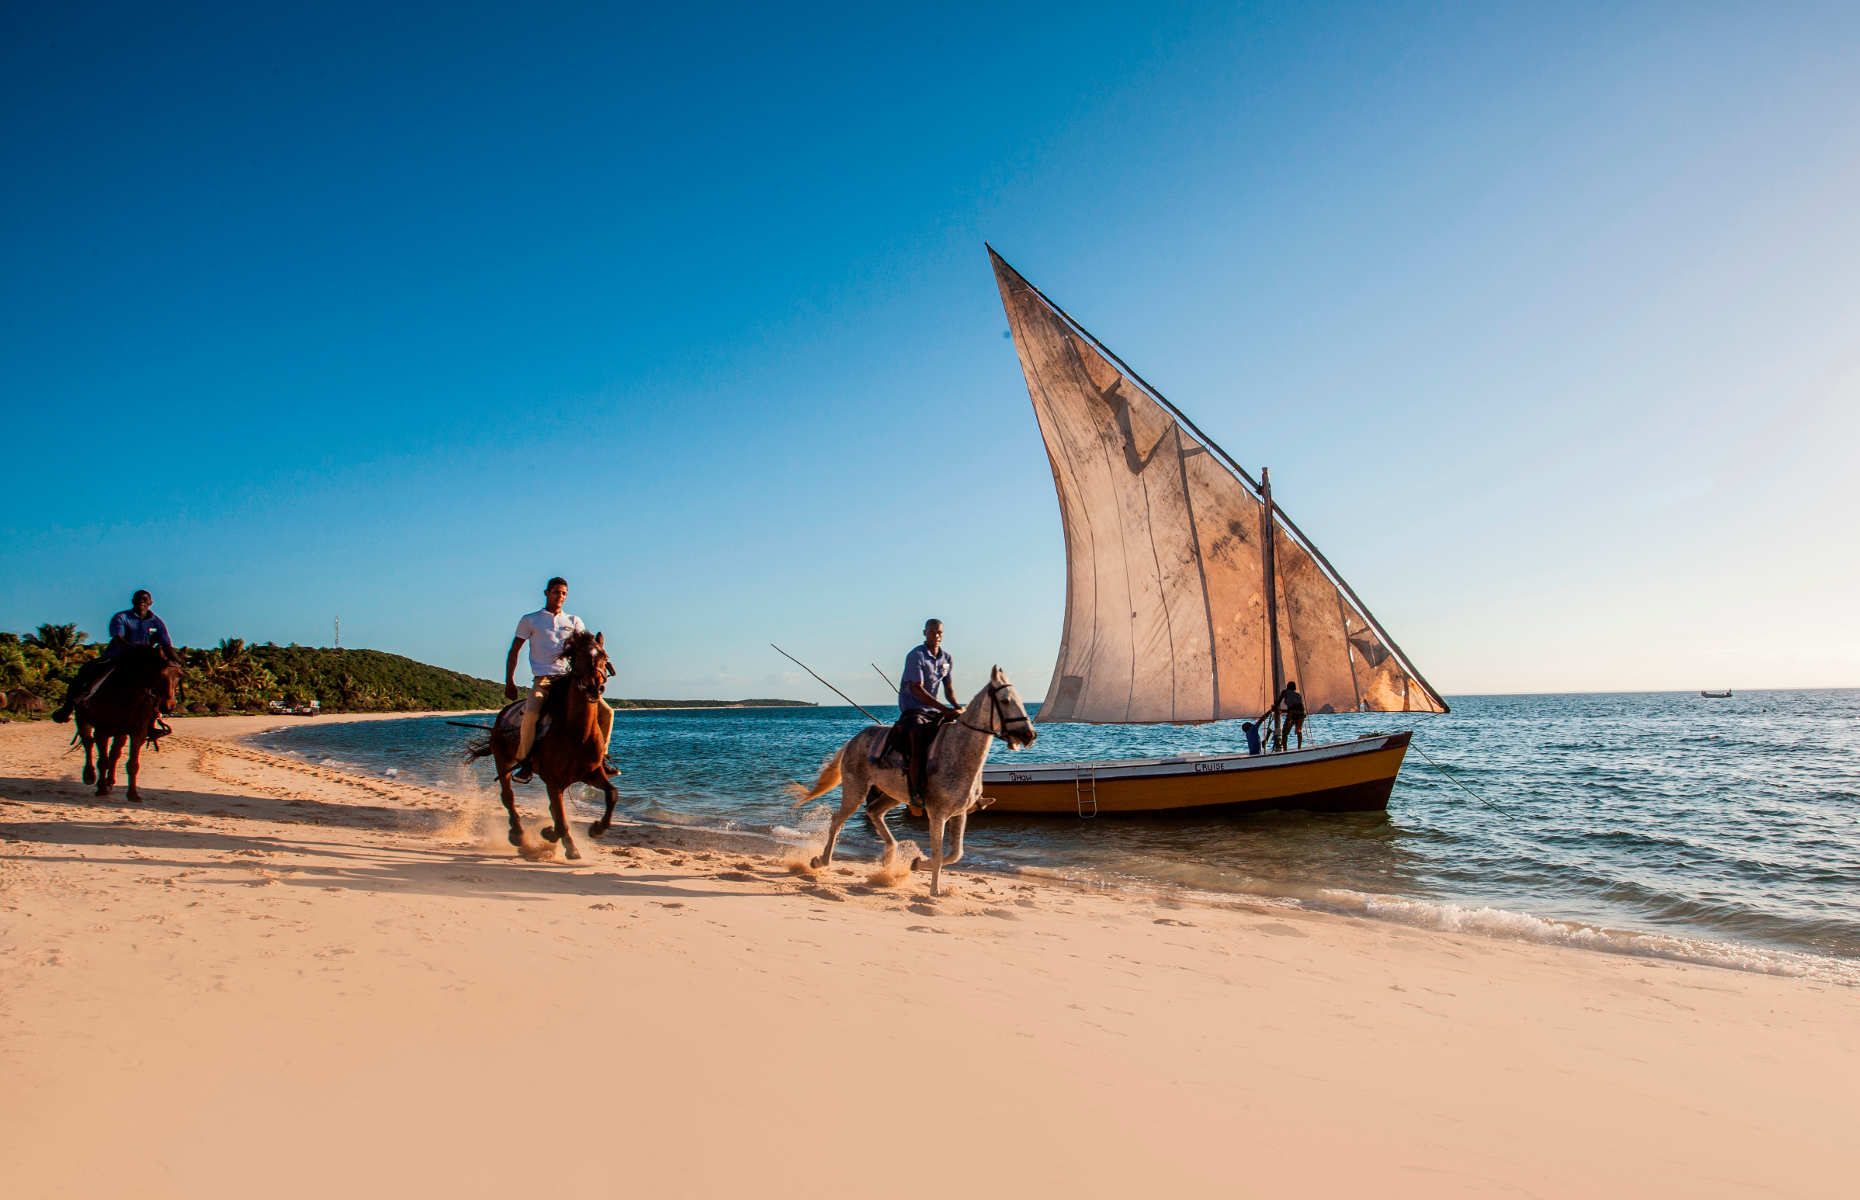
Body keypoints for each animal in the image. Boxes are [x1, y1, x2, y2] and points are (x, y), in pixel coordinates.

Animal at [73, 647, 184, 803]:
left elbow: (132, 764)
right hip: (82, 718)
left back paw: (110, 781)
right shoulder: (102, 731)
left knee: (114, 753)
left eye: (180, 675)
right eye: (161, 674)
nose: (169, 706)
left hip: (120, 732)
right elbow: (102, 761)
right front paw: (101, 788)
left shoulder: (138, 732)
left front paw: (133, 794)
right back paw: (90, 776)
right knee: (88, 743)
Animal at [465, 632, 617, 855]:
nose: (594, 687)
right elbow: (560, 818)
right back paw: (518, 835)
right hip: (502, 761)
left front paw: (596, 829)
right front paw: (562, 841)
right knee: (508, 796)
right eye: (576, 656)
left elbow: (612, 795)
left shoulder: (592, 773)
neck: (577, 734)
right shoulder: (553, 781)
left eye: (604, 656)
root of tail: (503, 713)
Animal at [792, 669, 1041, 893]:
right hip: (856, 789)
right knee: (837, 820)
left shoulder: (959, 813)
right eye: (1005, 700)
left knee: (874, 812)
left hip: (893, 794)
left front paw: (916, 863)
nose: (1029, 735)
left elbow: (955, 853)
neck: (958, 751)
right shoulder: (937, 813)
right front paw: (935, 891)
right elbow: (939, 853)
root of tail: (853, 740)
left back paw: (889, 857)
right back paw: (821, 861)